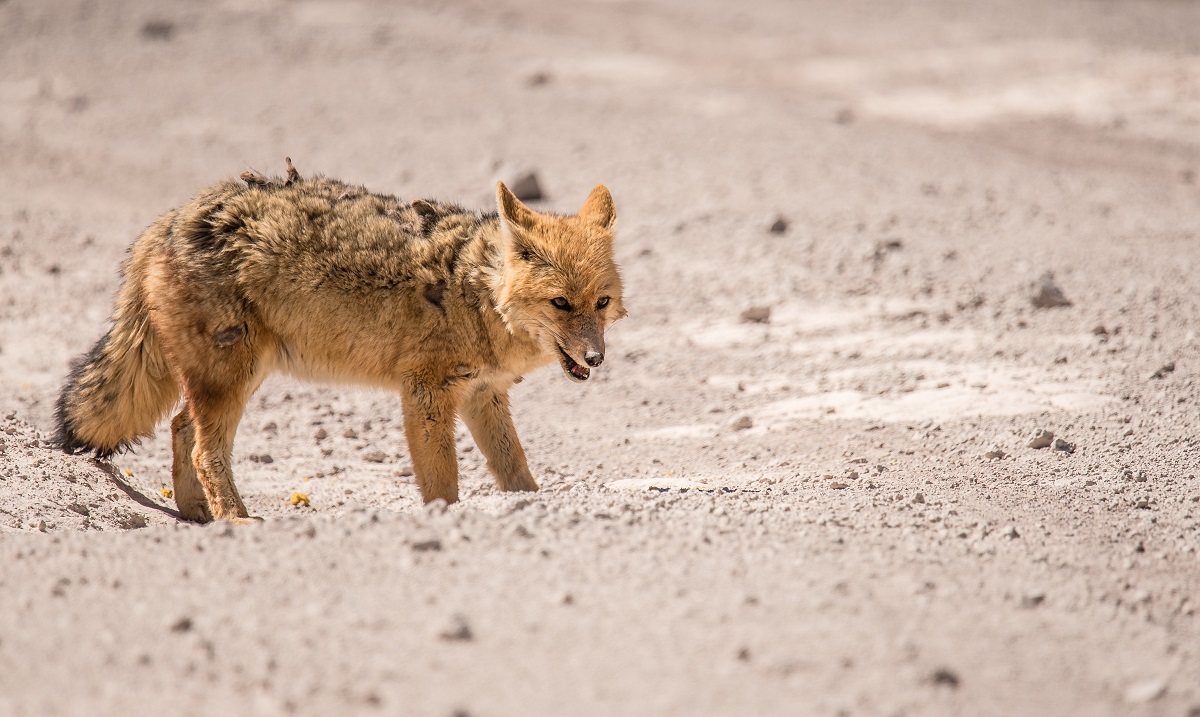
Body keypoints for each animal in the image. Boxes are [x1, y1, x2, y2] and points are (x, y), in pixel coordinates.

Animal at [54, 161, 628, 522]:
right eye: (561, 304)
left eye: (601, 303)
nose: (596, 359)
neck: (475, 291)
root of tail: (172, 219)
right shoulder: (425, 393)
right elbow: (442, 484)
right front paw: (446, 520)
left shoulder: (484, 395)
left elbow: (518, 473)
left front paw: (535, 509)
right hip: (233, 378)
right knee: (202, 448)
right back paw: (235, 519)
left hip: (242, 375)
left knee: (180, 428)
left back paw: (197, 513)